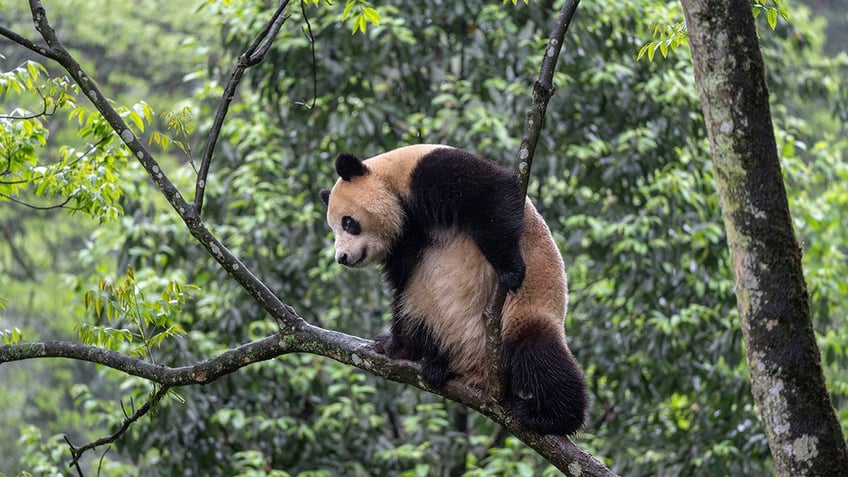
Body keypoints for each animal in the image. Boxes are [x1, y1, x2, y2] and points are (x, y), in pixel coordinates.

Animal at [320, 142, 588, 436]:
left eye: (348, 222)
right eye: (334, 229)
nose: (342, 258)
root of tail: (481, 373)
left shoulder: (430, 173)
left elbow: (492, 196)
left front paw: (510, 269)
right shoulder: (405, 243)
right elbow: (401, 289)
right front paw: (392, 346)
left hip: (524, 312)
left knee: (539, 355)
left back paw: (550, 417)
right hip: (433, 316)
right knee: (419, 314)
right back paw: (434, 363)